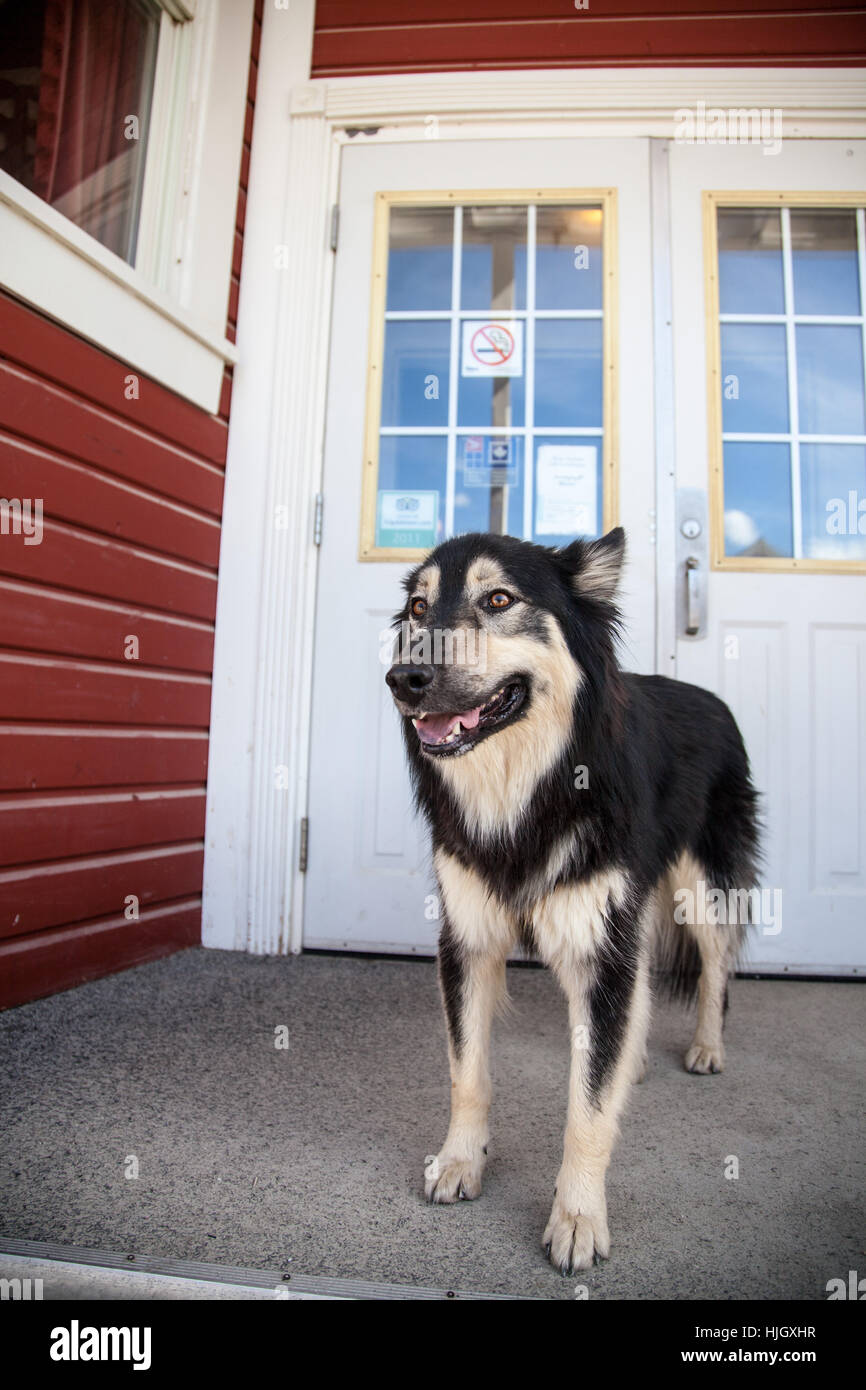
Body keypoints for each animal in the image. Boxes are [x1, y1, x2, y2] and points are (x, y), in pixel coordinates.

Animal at [386, 528, 756, 1273]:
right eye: (417, 608)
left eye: (499, 600)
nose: (403, 680)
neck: (531, 790)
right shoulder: (467, 940)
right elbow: (468, 1071)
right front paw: (460, 1161)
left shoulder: (599, 944)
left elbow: (586, 1110)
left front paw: (579, 1216)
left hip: (701, 889)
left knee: (714, 968)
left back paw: (705, 1047)